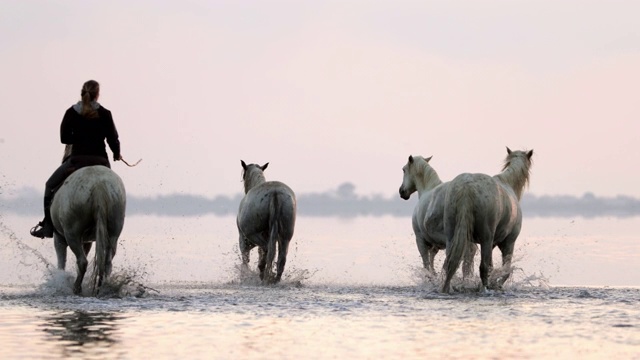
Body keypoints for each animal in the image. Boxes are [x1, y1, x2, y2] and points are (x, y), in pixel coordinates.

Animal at [51, 146, 126, 296]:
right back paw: (101, 287)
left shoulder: (59, 237)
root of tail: (99, 187)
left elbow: (61, 263)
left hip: (71, 234)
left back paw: (77, 288)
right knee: (107, 263)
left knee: (82, 262)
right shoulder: (87, 241)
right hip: (114, 231)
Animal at [440, 147, 536, 292]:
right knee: (484, 267)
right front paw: (497, 284)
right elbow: (505, 271)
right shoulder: (508, 242)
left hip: (451, 235)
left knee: (449, 263)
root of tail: (467, 188)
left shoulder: (492, 244)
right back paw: (485, 288)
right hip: (486, 238)